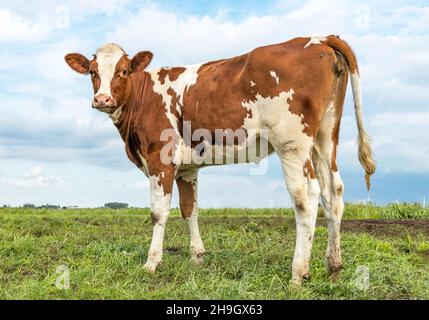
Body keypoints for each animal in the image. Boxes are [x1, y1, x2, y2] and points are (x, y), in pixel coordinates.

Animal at [64, 35, 374, 284]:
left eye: (124, 70)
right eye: (92, 72)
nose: (102, 100)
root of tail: (320, 38)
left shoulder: (160, 159)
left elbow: (158, 213)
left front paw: (151, 263)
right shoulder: (186, 169)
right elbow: (190, 210)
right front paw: (197, 257)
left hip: (292, 143)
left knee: (306, 197)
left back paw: (298, 274)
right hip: (325, 137)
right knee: (333, 192)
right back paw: (333, 267)